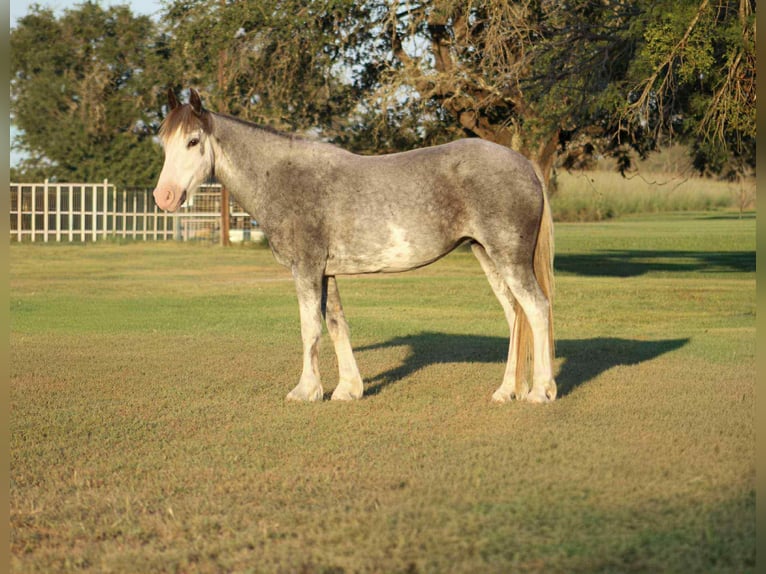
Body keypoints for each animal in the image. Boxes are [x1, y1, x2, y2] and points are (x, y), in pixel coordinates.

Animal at [153, 88, 556, 404]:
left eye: (193, 141)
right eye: (164, 141)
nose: (164, 196)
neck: (285, 178)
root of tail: (525, 164)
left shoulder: (306, 269)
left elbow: (310, 328)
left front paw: (306, 391)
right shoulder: (326, 272)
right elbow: (336, 324)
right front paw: (348, 389)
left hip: (509, 258)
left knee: (536, 309)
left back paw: (540, 392)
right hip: (486, 255)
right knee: (515, 316)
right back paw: (507, 391)